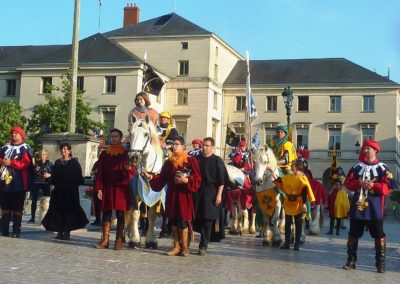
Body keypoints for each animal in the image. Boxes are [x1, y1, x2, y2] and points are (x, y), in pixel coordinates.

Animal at [126, 115, 164, 248]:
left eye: (146, 134)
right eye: (130, 132)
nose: (133, 157)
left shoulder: (156, 196)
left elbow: (152, 216)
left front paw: (151, 240)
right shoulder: (134, 193)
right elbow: (135, 214)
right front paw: (134, 239)